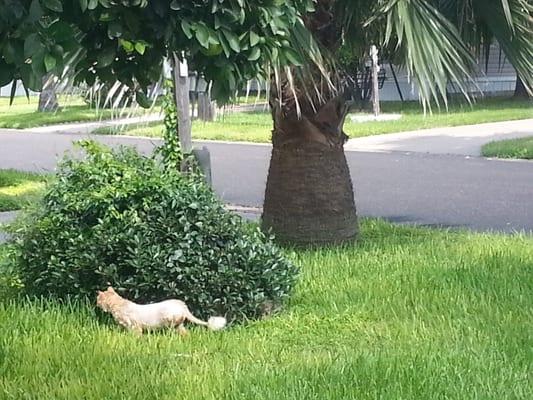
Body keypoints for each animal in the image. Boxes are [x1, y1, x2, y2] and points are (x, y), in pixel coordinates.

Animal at [96, 288, 225, 334]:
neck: (118, 304)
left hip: (170, 321)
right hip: (179, 325)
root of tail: (182, 304)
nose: (96, 304)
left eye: (98, 300)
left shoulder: (135, 327)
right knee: (185, 333)